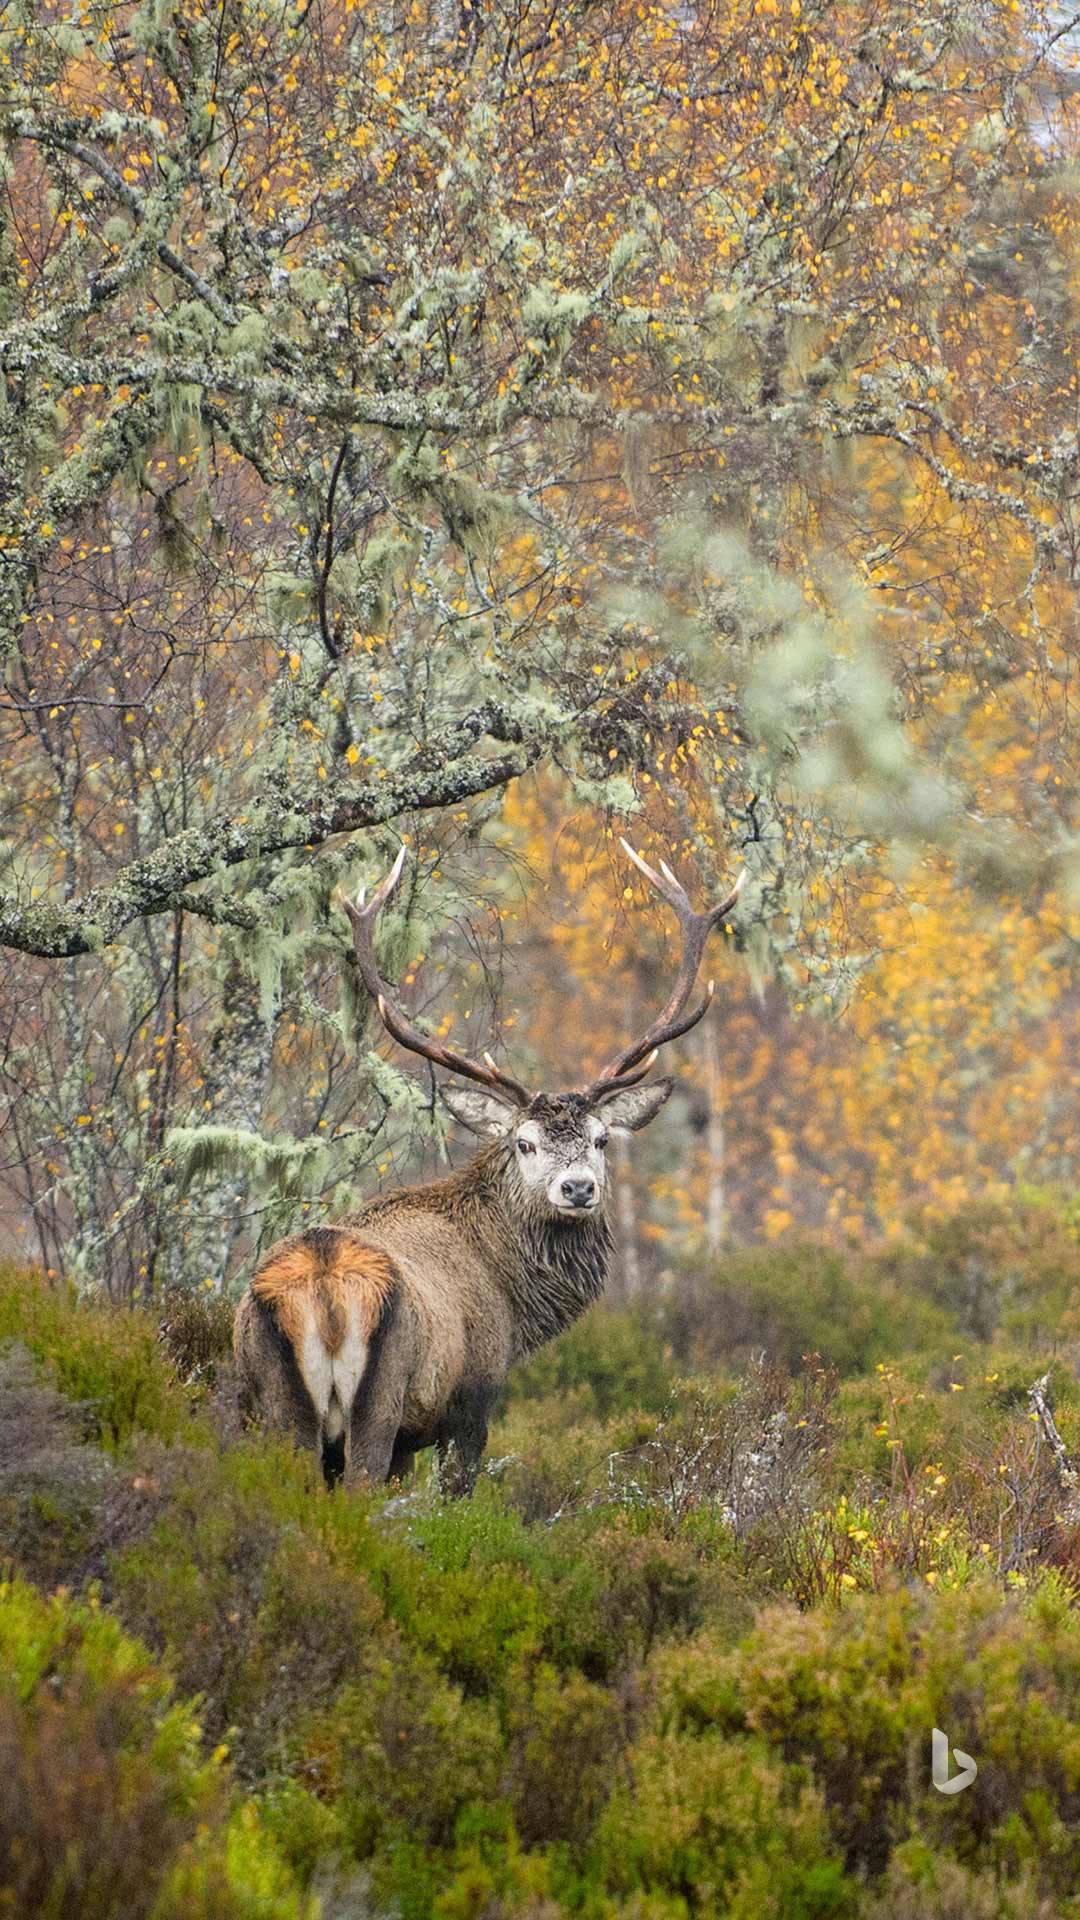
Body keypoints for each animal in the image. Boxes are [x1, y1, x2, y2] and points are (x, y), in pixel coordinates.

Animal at [230, 844, 737, 1497]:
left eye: (601, 1139)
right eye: (524, 1144)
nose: (578, 1187)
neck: (515, 1301)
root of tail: (323, 1286)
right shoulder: (473, 1395)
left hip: (273, 1403)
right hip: (381, 1397)